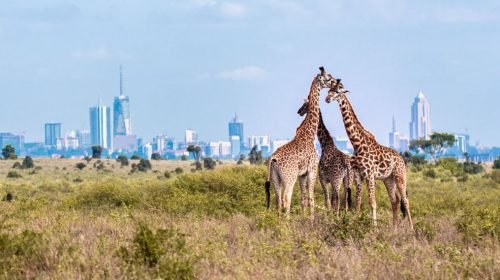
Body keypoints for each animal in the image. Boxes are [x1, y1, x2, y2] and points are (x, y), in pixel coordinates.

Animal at [264, 66, 338, 215]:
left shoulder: (302, 175)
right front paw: (311, 219)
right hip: (289, 177)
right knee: (286, 199)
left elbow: (303, 199)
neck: (309, 134)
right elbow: (311, 198)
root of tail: (273, 159)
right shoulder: (312, 170)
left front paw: (304, 218)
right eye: (328, 77)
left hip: (275, 178)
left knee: (278, 200)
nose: (336, 81)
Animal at [324, 81, 414, 230]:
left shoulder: (369, 174)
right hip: (388, 179)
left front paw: (374, 227)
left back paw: (412, 228)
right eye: (329, 90)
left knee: (405, 200)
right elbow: (358, 201)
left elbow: (372, 202)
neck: (357, 144)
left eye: (337, 91)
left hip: (400, 176)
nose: (327, 99)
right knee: (394, 200)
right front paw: (355, 223)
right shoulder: (358, 175)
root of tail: (402, 159)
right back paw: (394, 229)